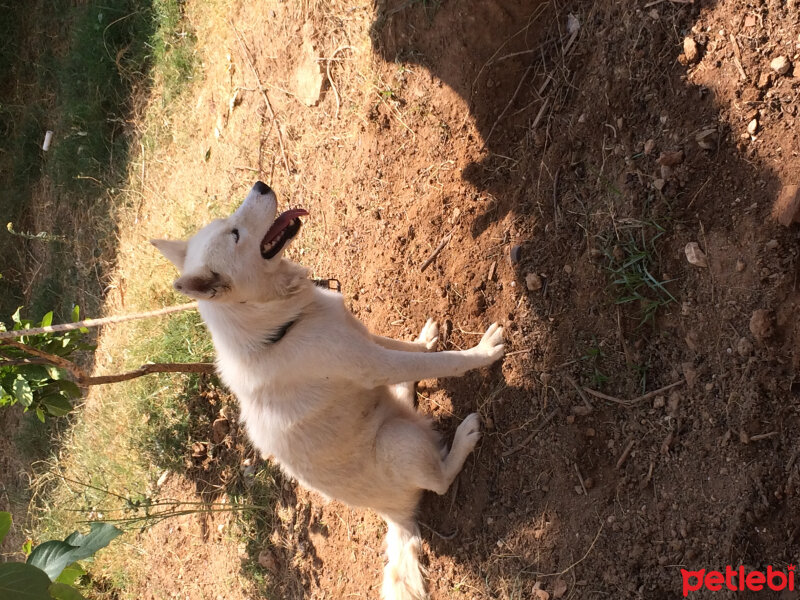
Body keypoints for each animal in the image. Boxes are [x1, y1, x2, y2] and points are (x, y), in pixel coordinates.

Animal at [152, 183, 504, 600]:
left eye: (228, 223)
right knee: (439, 480)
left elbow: (409, 348)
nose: (261, 186)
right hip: (397, 439)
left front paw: (424, 340)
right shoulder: (372, 363)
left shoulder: (362, 338)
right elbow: (445, 362)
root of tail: (392, 516)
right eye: (235, 234)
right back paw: (464, 436)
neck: (277, 328)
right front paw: (482, 353)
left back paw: (408, 388)